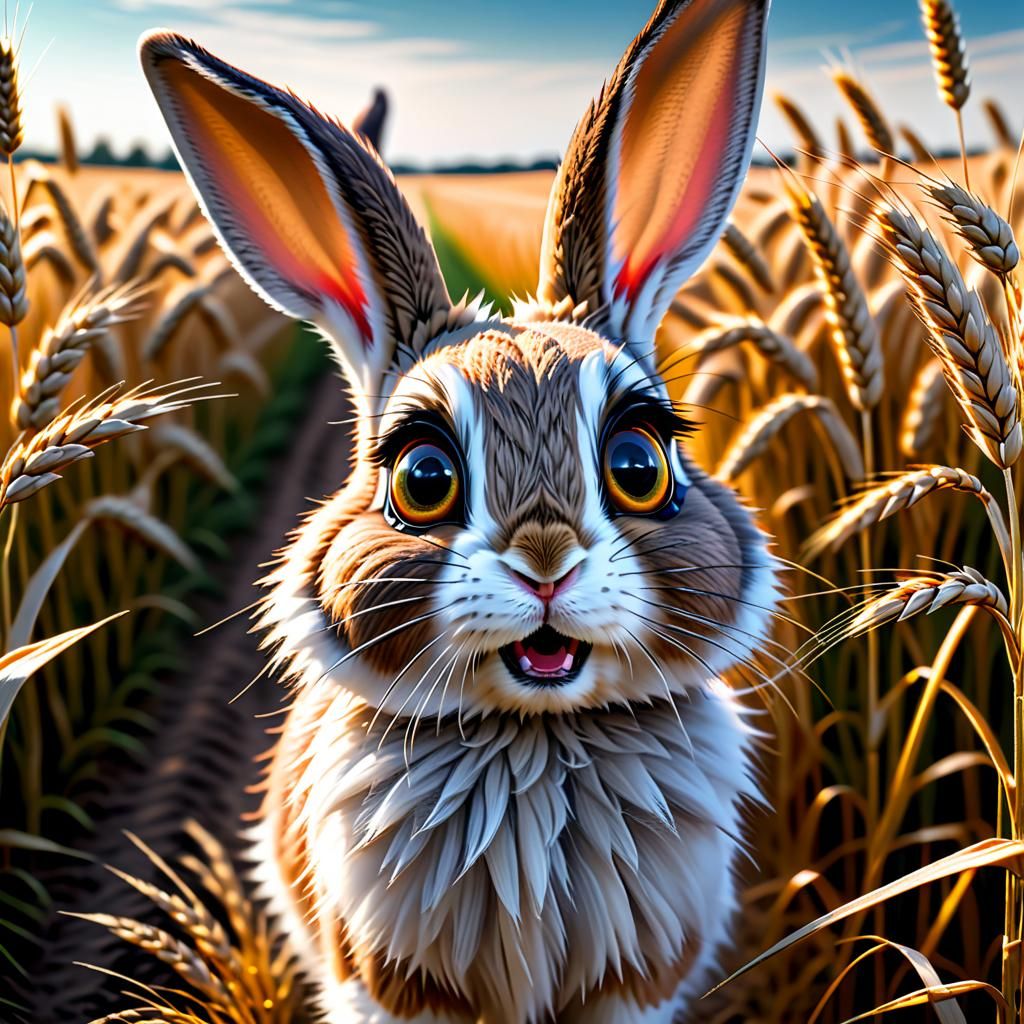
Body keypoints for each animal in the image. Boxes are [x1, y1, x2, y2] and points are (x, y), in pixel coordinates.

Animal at [140, 1, 776, 1021]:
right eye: (423, 478)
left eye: (638, 464)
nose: (546, 562)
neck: (535, 738)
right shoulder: (389, 985)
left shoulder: (633, 985)